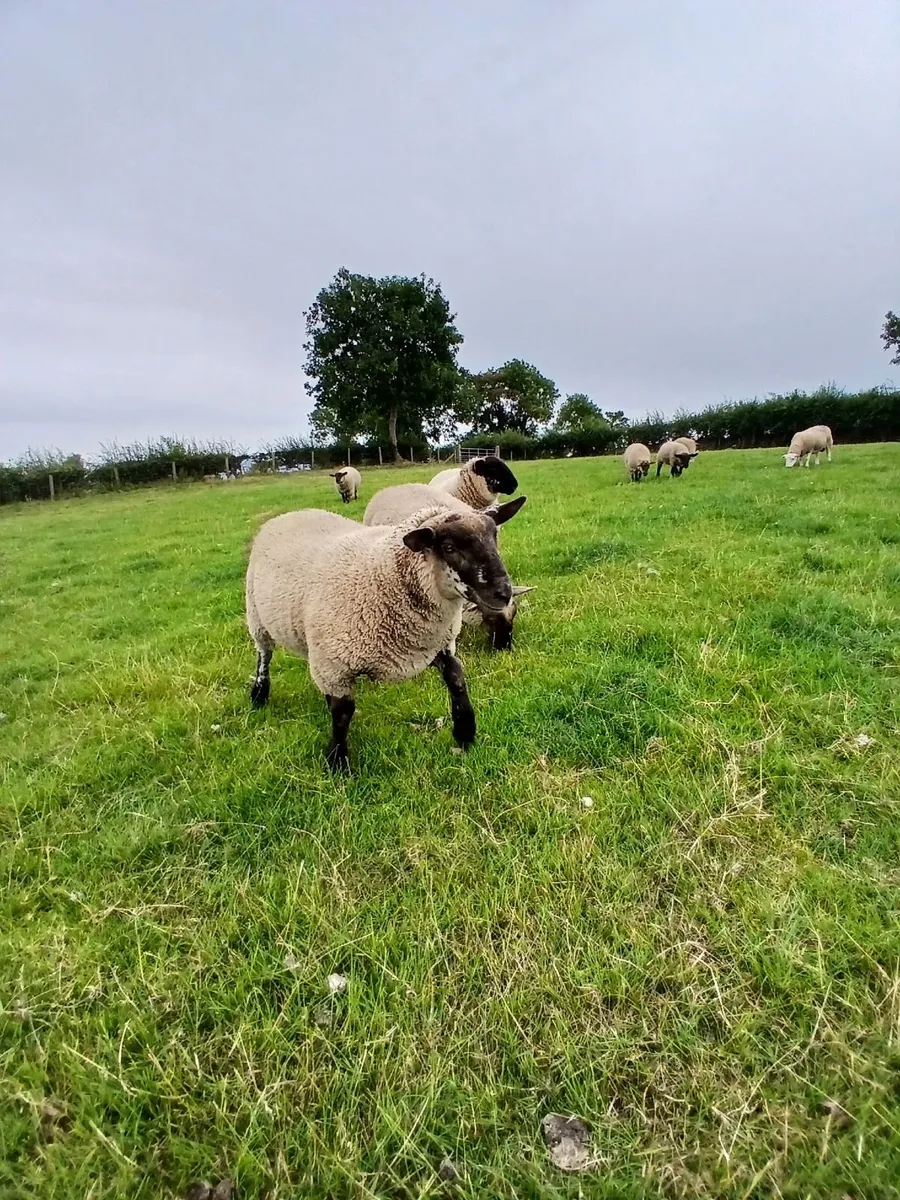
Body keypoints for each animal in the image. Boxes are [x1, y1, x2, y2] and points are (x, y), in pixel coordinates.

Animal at [246, 500, 523, 771]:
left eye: (494, 536)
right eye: (448, 547)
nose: (503, 593)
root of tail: (291, 513)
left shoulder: (437, 645)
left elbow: (457, 679)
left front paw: (465, 732)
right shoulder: (335, 663)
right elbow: (343, 713)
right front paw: (337, 762)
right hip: (257, 618)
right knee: (264, 656)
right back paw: (259, 694)